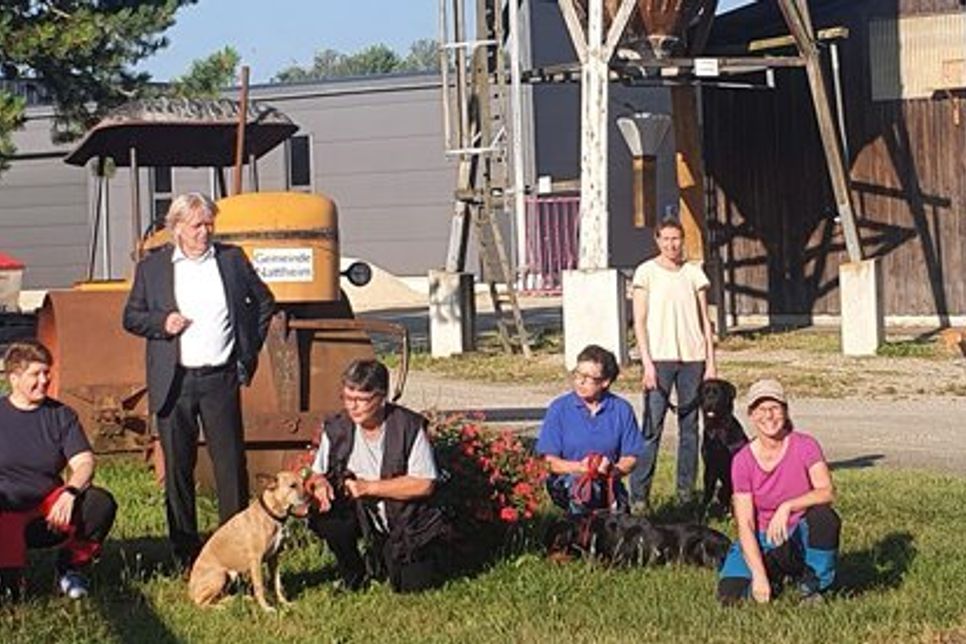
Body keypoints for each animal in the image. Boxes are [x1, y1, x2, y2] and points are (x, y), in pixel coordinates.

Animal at [189, 470, 310, 612]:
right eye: (292, 486)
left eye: (304, 482)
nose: (310, 497)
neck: (270, 514)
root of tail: (190, 591)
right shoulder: (256, 561)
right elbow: (259, 587)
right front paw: (266, 608)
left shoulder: (274, 557)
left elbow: (277, 583)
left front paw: (284, 602)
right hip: (220, 575)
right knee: (201, 603)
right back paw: (222, 607)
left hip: (231, 576)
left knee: (219, 597)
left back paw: (238, 599)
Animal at [700, 380, 752, 516]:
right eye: (704, 392)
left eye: (718, 393)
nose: (709, 402)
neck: (717, 428)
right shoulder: (710, 467)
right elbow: (707, 494)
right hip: (720, 490)